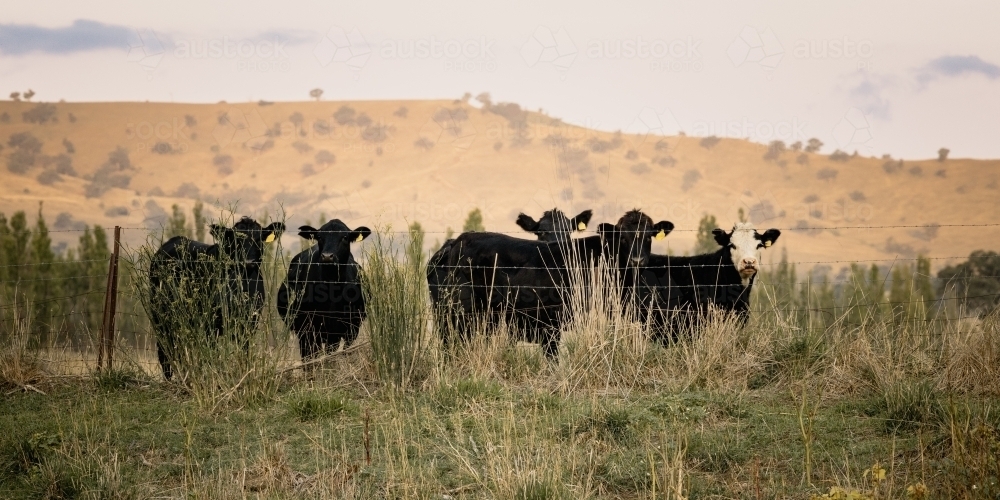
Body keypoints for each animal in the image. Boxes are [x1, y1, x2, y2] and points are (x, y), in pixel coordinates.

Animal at [148, 216, 285, 380]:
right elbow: (213, 354)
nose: (249, 262)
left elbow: (244, 352)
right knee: (165, 349)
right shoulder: (211, 323)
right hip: (160, 316)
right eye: (236, 240)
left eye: (259, 239)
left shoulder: (250, 322)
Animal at [428, 209, 673, 357]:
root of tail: (458, 240)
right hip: (457, 315)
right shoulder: (551, 325)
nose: (637, 260)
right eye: (622, 237)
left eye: (649, 235)